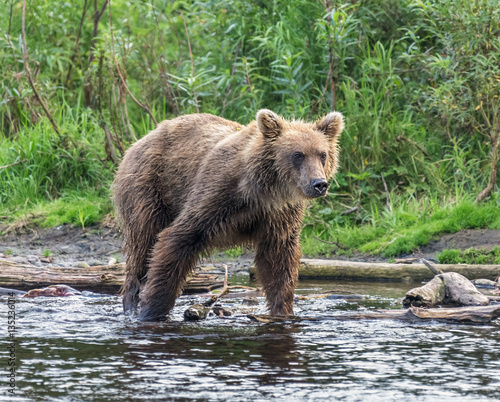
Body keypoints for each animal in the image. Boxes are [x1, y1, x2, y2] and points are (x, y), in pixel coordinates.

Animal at [113, 109, 344, 320]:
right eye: (298, 155)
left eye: (322, 154)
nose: (319, 184)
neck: (263, 192)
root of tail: (140, 140)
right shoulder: (218, 195)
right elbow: (176, 240)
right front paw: (153, 310)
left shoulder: (279, 215)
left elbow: (279, 262)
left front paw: (283, 311)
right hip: (150, 188)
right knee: (142, 245)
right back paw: (131, 304)